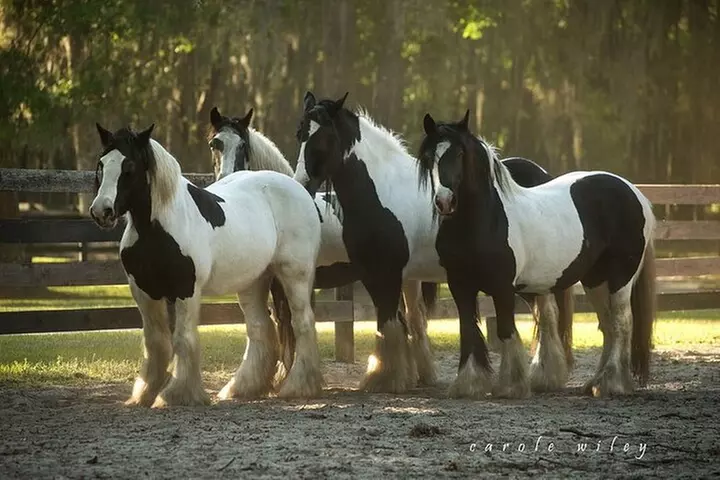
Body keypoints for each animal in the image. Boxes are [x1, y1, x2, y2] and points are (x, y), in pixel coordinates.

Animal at [89, 123, 324, 407]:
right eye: (101, 164)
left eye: (129, 166)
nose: (102, 211)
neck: (157, 229)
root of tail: (298, 189)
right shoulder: (144, 292)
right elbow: (155, 343)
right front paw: (144, 394)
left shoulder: (186, 290)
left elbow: (183, 339)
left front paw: (177, 394)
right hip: (254, 281)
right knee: (259, 328)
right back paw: (242, 388)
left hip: (294, 275)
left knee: (302, 322)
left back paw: (299, 386)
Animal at [207, 106, 439, 387]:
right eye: (215, 144)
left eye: (243, 146)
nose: (227, 179)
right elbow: (284, 323)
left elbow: (289, 323)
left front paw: (289, 376)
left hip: (405, 279)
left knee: (414, 319)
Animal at [293, 91, 574, 398]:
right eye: (300, 134)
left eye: (324, 138)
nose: (301, 184)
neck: (381, 191)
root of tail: (542, 175)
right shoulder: (371, 274)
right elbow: (390, 323)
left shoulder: (388, 273)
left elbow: (390, 322)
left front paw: (387, 379)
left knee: (547, 314)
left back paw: (544, 376)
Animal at [418, 110, 656, 397]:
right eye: (429, 157)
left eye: (460, 153)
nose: (444, 202)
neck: (485, 221)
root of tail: (634, 192)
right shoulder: (459, 286)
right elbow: (468, 330)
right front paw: (468, 384)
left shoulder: (502, 288)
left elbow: (505, 330)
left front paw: (511, 386)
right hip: (594, 280)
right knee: (608, 325)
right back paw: (594, 382)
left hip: (621, 277)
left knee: (621, 322)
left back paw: (610, 383)